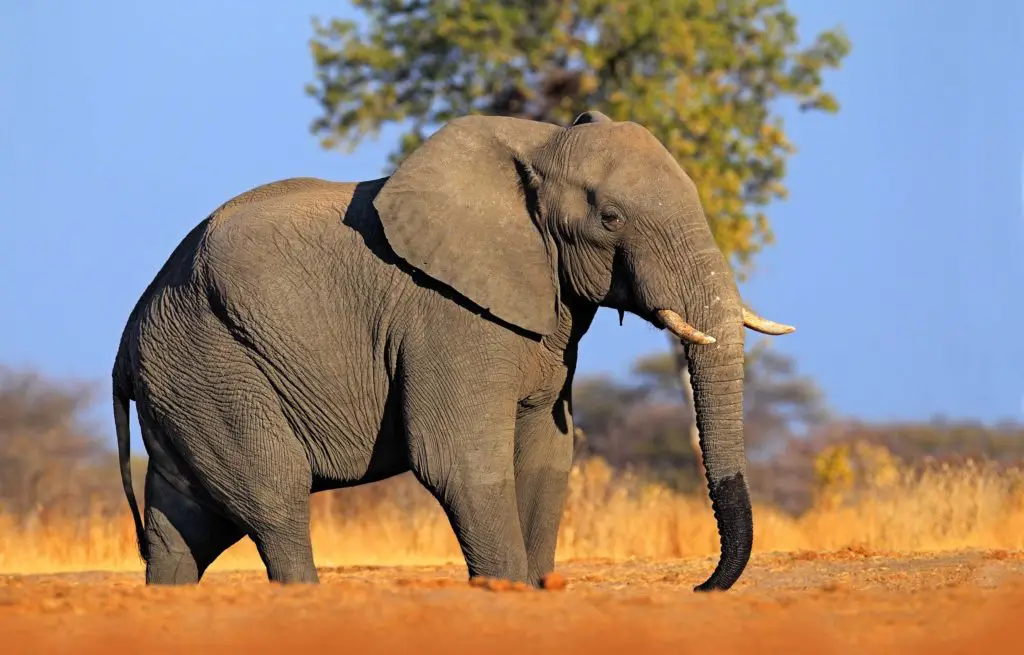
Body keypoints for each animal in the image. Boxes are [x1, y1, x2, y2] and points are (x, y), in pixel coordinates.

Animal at [111, 109, 795, 591]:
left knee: (184, 527)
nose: (700, 587)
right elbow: (460, 460)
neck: (540, 145)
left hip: (185, 381)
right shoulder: (446, 314)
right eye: (611, 218)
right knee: (275, 497)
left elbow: (547, 457)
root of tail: (124, 343)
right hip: (210, 362)